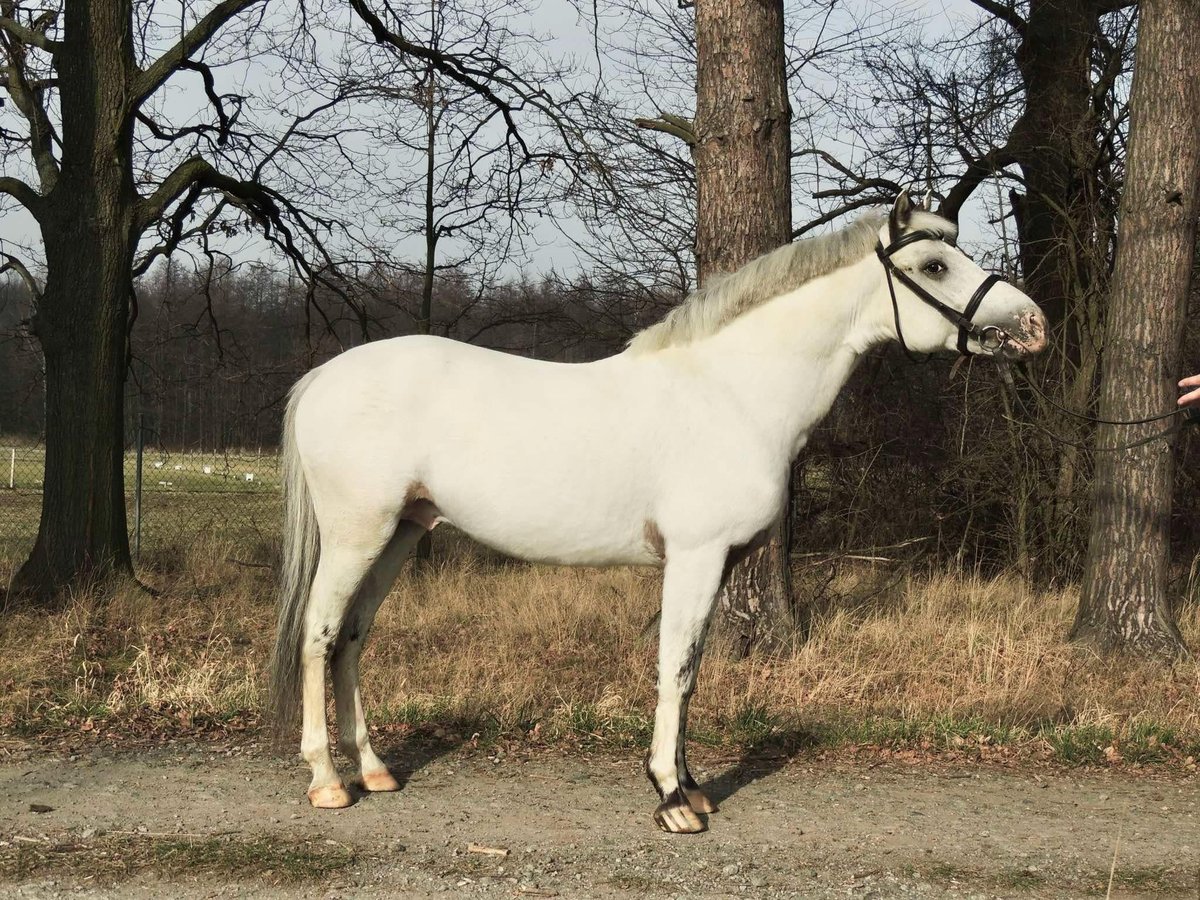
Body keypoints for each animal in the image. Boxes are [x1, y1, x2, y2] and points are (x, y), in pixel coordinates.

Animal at [272, 194, 1051, 835]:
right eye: (935, 264)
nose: (1033, 324)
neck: (734, 393)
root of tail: (324, 377)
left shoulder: (718, 563)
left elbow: (695, 666)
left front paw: (693, 784)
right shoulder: (696, 555)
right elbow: (674, 667)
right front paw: (672, 800)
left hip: (402, 533)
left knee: (352, 638)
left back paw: (375, 770)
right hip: (357, 535)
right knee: (319, 633)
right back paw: (328, 782)